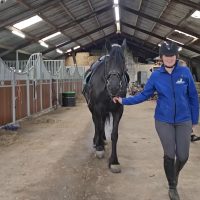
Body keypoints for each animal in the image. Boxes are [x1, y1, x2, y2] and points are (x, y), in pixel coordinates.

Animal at [83, 39, 129, 173]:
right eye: (108, 62)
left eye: (123, 61)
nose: (114, 86)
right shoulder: (97, 108)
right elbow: (98, 126)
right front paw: (99, 148)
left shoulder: (118, 110)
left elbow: (114, 135)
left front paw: (114, 161)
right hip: (92, 109)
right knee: (96, 123)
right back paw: (97, 141)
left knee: (102, 122)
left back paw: (102, 139)